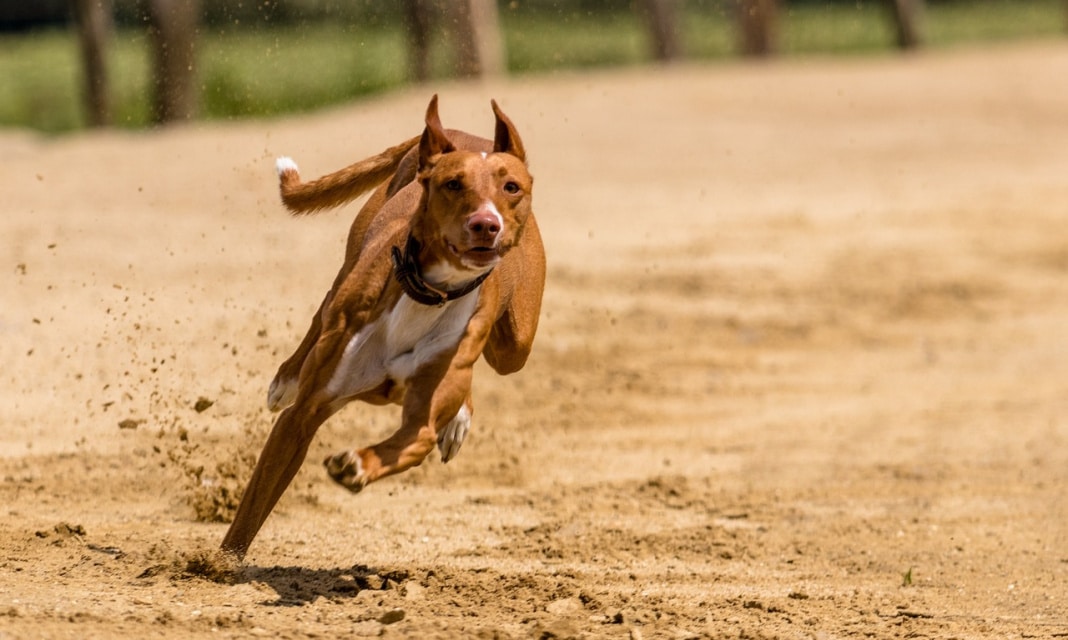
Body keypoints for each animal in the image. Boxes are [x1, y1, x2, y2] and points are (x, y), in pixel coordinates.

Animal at [222, 96, 546, 559]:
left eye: (511, 187)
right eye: (453, 184)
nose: (486, 224)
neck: (429, 294)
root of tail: (468, 134)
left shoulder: (426, 409)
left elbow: (414, 438)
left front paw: (358, 465)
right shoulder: (303, 415)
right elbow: (253, 505)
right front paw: (217, 563)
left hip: (515, 344)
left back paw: (458, 419)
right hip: (352, 264)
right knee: (324, 307)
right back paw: (286, 377)